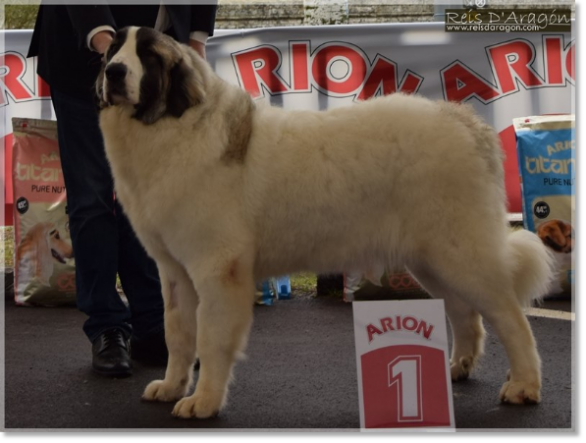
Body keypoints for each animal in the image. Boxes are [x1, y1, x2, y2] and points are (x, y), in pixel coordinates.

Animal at [96, 26, 552, 420]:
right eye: (111, 50)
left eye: (148, 56)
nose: (113, 72)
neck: (172, 126)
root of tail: (464, 120)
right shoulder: (175, 272)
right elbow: (178, 333)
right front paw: (172, 386)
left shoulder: (216, 269)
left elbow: (210, 338)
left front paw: (203, 401)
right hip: (433, 260)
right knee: (464, 313)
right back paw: (458, 366)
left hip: (461, 253)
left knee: (511, 318)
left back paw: (523, 386)